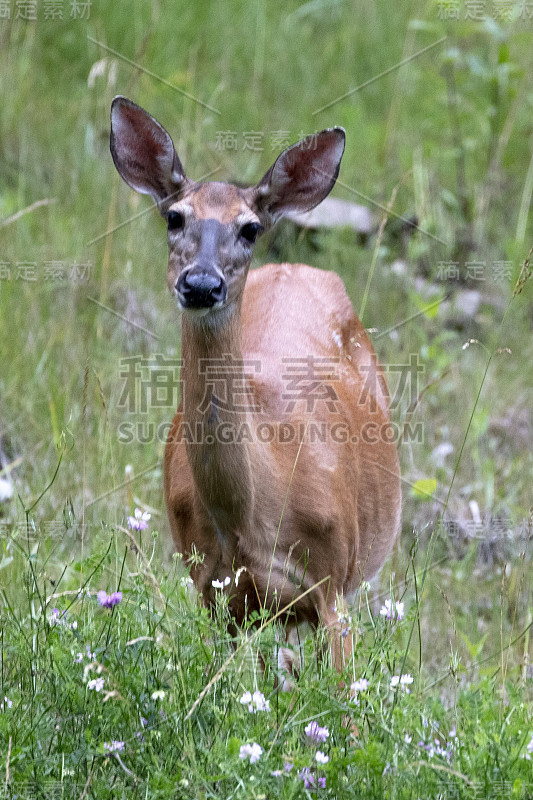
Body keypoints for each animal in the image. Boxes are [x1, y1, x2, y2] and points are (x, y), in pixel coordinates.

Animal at [110, 98, 402, 676]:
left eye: (249, 228)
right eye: (174, 217)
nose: (202, 284)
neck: (250, 518)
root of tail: (294, 266)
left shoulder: (331, 586)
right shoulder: (215, 592)